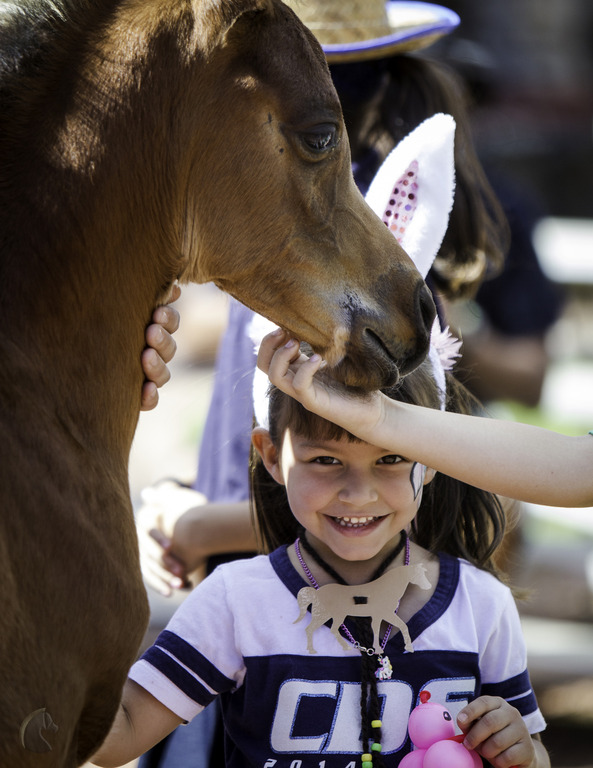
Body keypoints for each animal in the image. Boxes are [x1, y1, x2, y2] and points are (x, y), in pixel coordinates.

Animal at [294, 564, 431, 655]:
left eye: (424, 573)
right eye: (419, 574)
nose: (428, 586)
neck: (387, 588)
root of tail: (316, 593)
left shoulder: (380, 615)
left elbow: (383, 628)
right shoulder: (385, 614)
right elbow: (399, 626)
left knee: (327, 629)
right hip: (325, 614)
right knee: (311, 629)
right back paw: (312, 650)